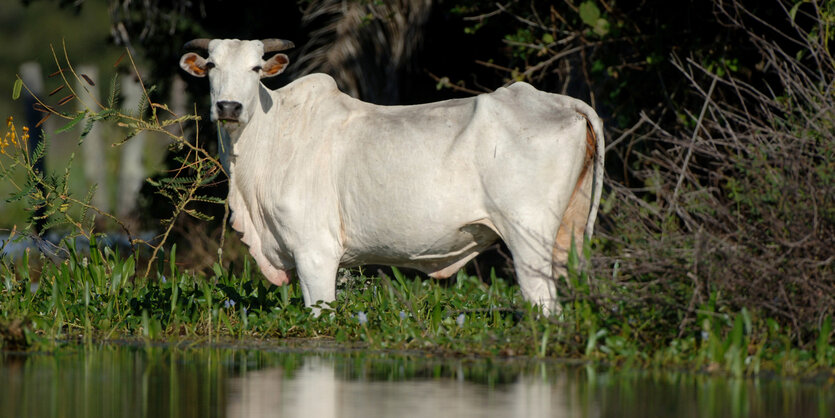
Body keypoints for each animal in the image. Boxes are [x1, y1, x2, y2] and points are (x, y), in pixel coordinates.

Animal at [180, 39, 604, 316]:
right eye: (212, 66)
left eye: (256, 68)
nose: (229, 107)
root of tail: (555, 100)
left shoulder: (315, 251)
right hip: (566, 235)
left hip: (527, 237)